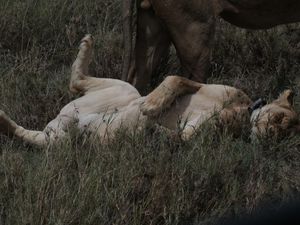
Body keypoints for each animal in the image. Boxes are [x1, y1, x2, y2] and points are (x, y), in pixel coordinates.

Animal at [0, 34, 298, 147]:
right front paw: (152, 107)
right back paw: (87, 44)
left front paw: (152, 129)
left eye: (284, 133)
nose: (272, 133)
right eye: (279, 119)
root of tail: (58, 122)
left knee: (27, 134)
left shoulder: (193, 135)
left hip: (62, 142)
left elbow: (181, 137)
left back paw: (2, 119)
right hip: (125, 89)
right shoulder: (205, 84)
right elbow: (176, 79)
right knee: (76, 81)